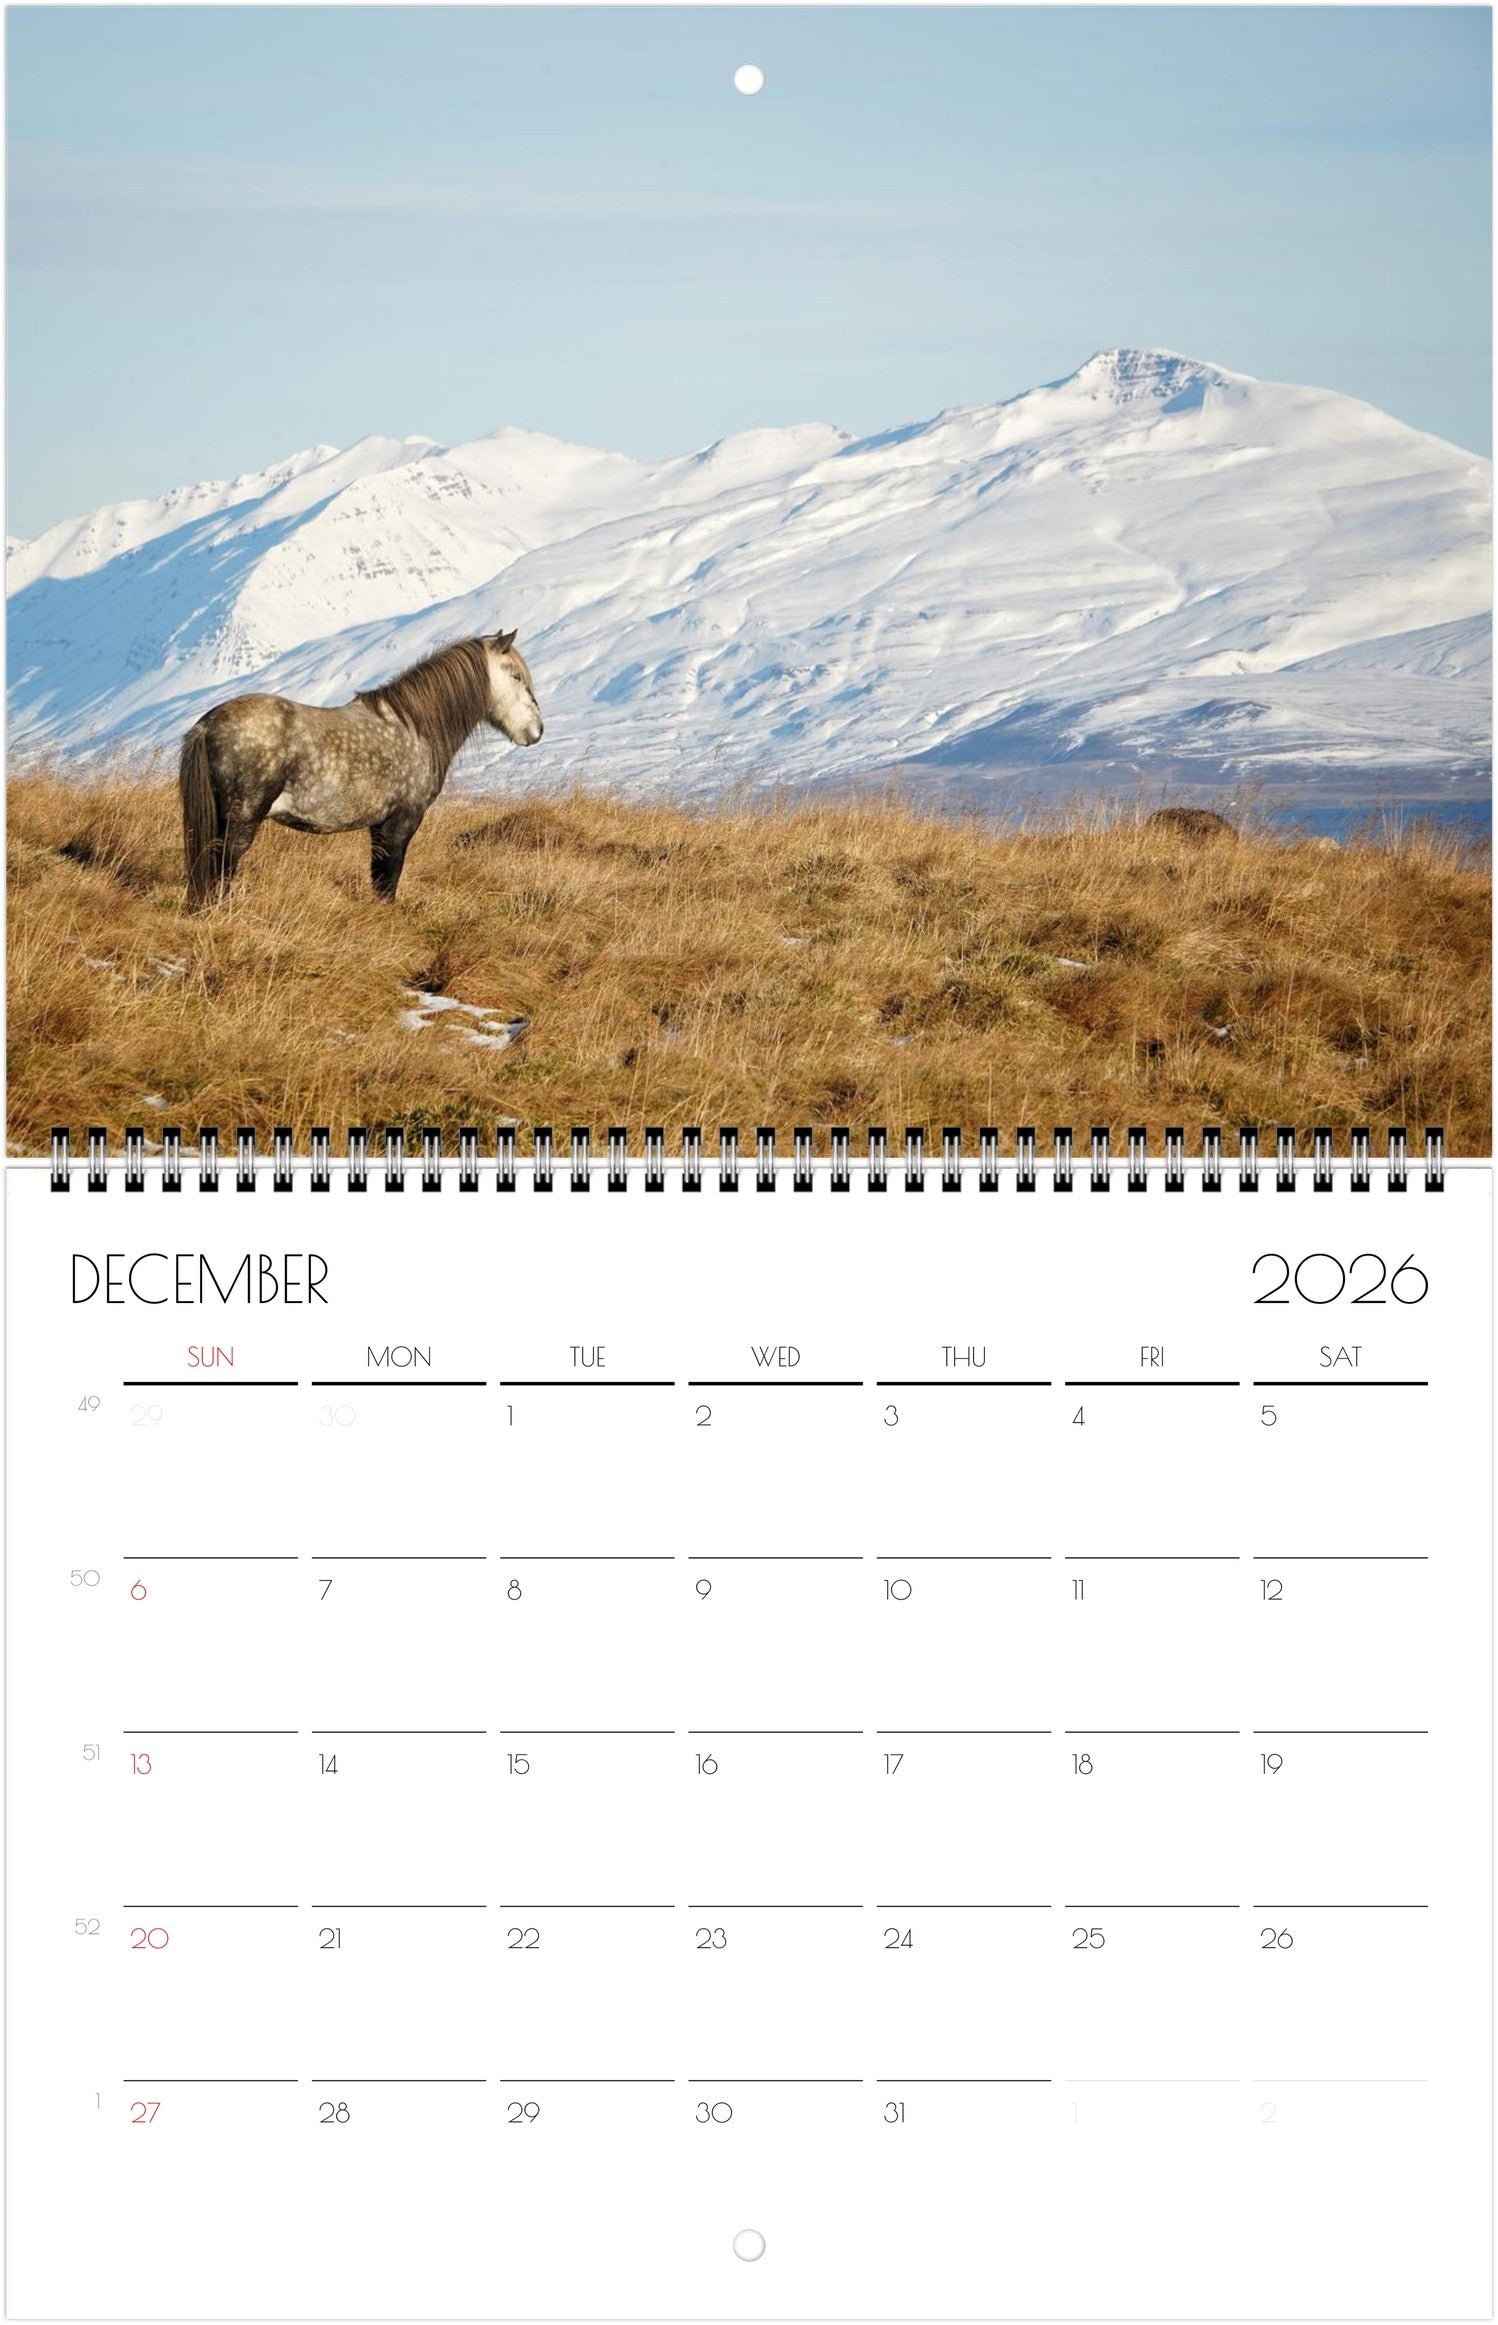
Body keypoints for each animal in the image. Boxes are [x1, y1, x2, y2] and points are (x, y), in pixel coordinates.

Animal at [178, 631, 543, 905]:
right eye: (516, 676)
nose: (536, 730)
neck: (413, 728)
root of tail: (207, 725)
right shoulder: (401, 821)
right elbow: (388, 880)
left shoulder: (379, 826)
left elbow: (379, 876)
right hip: (242, 820)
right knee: (222, 867)